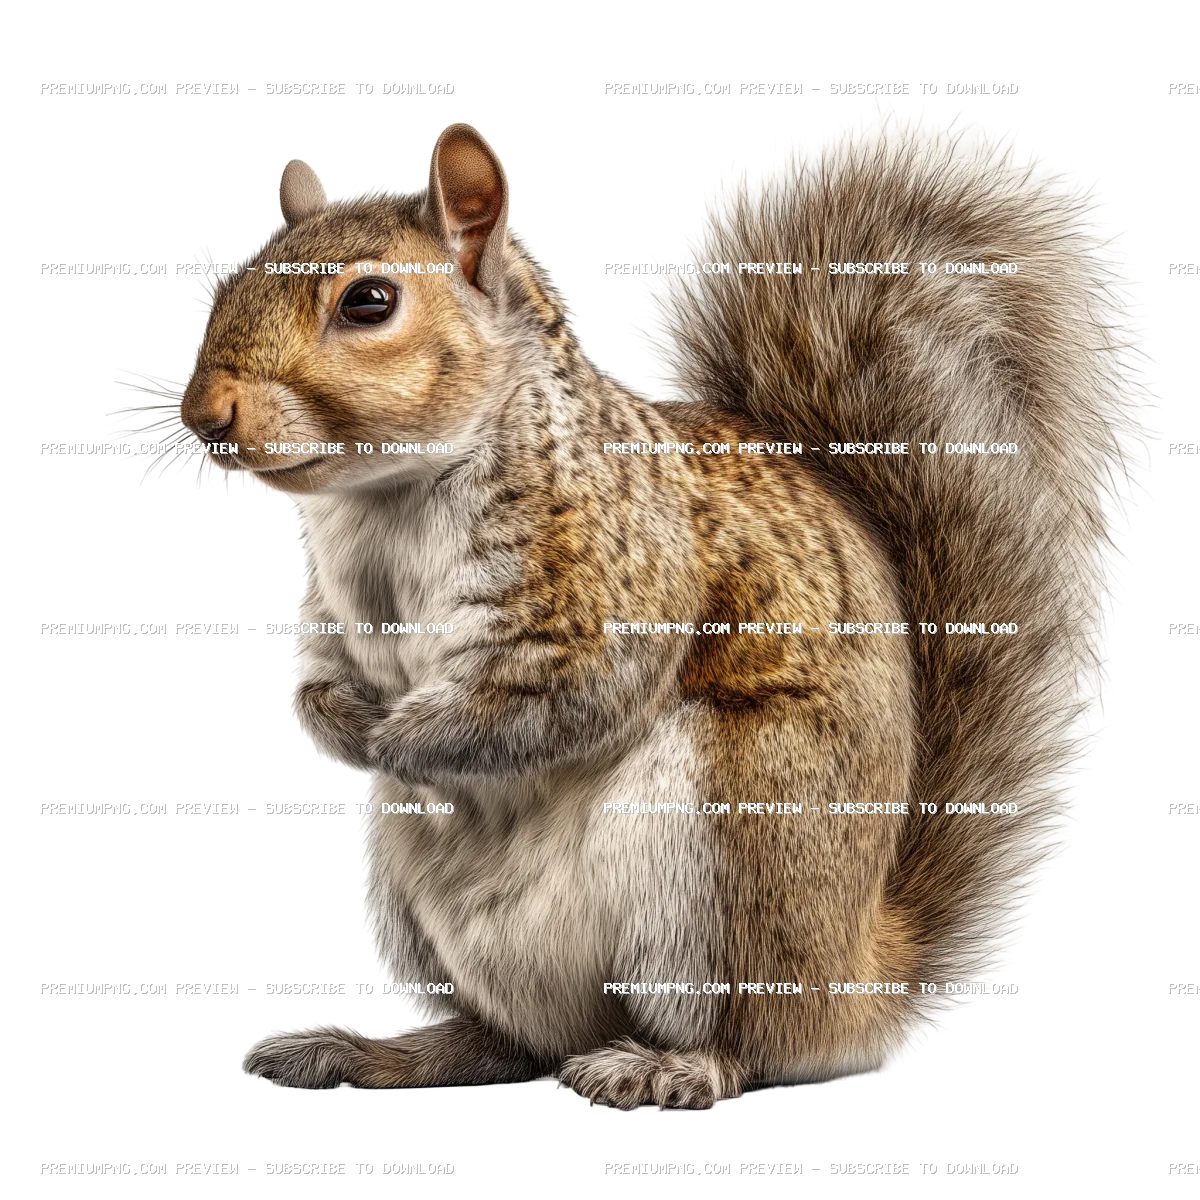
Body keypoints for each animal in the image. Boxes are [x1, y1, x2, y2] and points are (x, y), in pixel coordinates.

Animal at [202, 108, 1145, 1105]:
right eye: (225, 285)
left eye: (369, 303)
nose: (204, 414)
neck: (389, 500)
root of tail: (851, 985)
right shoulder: (328, 610)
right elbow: (315, 681)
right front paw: (343, 726)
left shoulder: (611, 572)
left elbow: (556, 690)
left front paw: (397, 739)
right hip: (414, 890)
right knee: (508, 1043)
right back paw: (378, 1054)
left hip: (724, 852)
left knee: (744, 1043)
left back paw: (665, 1069)